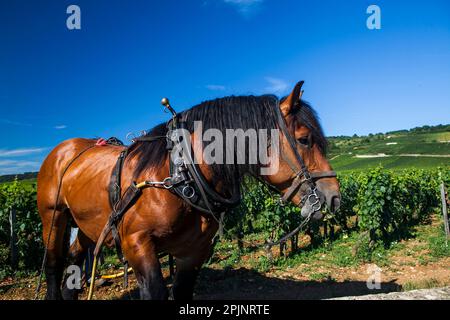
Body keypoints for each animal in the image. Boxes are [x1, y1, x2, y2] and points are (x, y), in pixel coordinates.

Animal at [37, 82, 342, 300]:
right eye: (304, 139)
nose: (334, 196)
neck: (180, 174)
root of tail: (65, 148)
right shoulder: (137, 244)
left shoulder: (194, 251)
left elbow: (182, 291)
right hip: (53, 217)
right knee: (53, 265)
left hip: (88, 224)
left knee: (75, 261)